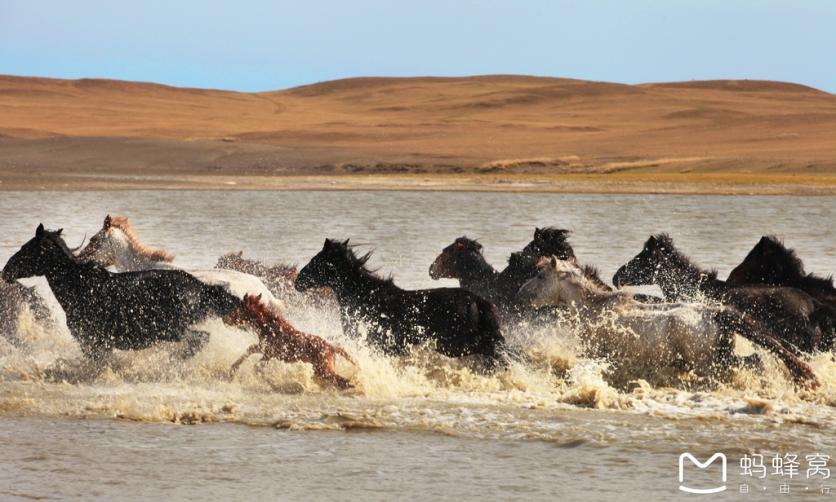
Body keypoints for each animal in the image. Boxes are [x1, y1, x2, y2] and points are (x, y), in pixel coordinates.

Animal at [1, 225, 240, 360]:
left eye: (26, 248)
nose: (6, 270)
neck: (79, 287)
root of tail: (200, 287)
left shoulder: (91, 342)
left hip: (172, 330)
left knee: (199, 339)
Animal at [516, 256, 816, 386]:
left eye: (541, 276)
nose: (520, 295)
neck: (596, 309)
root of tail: (714, 313)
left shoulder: (596, 354)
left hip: (707, 363)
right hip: (721, 357)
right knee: (755, 361)